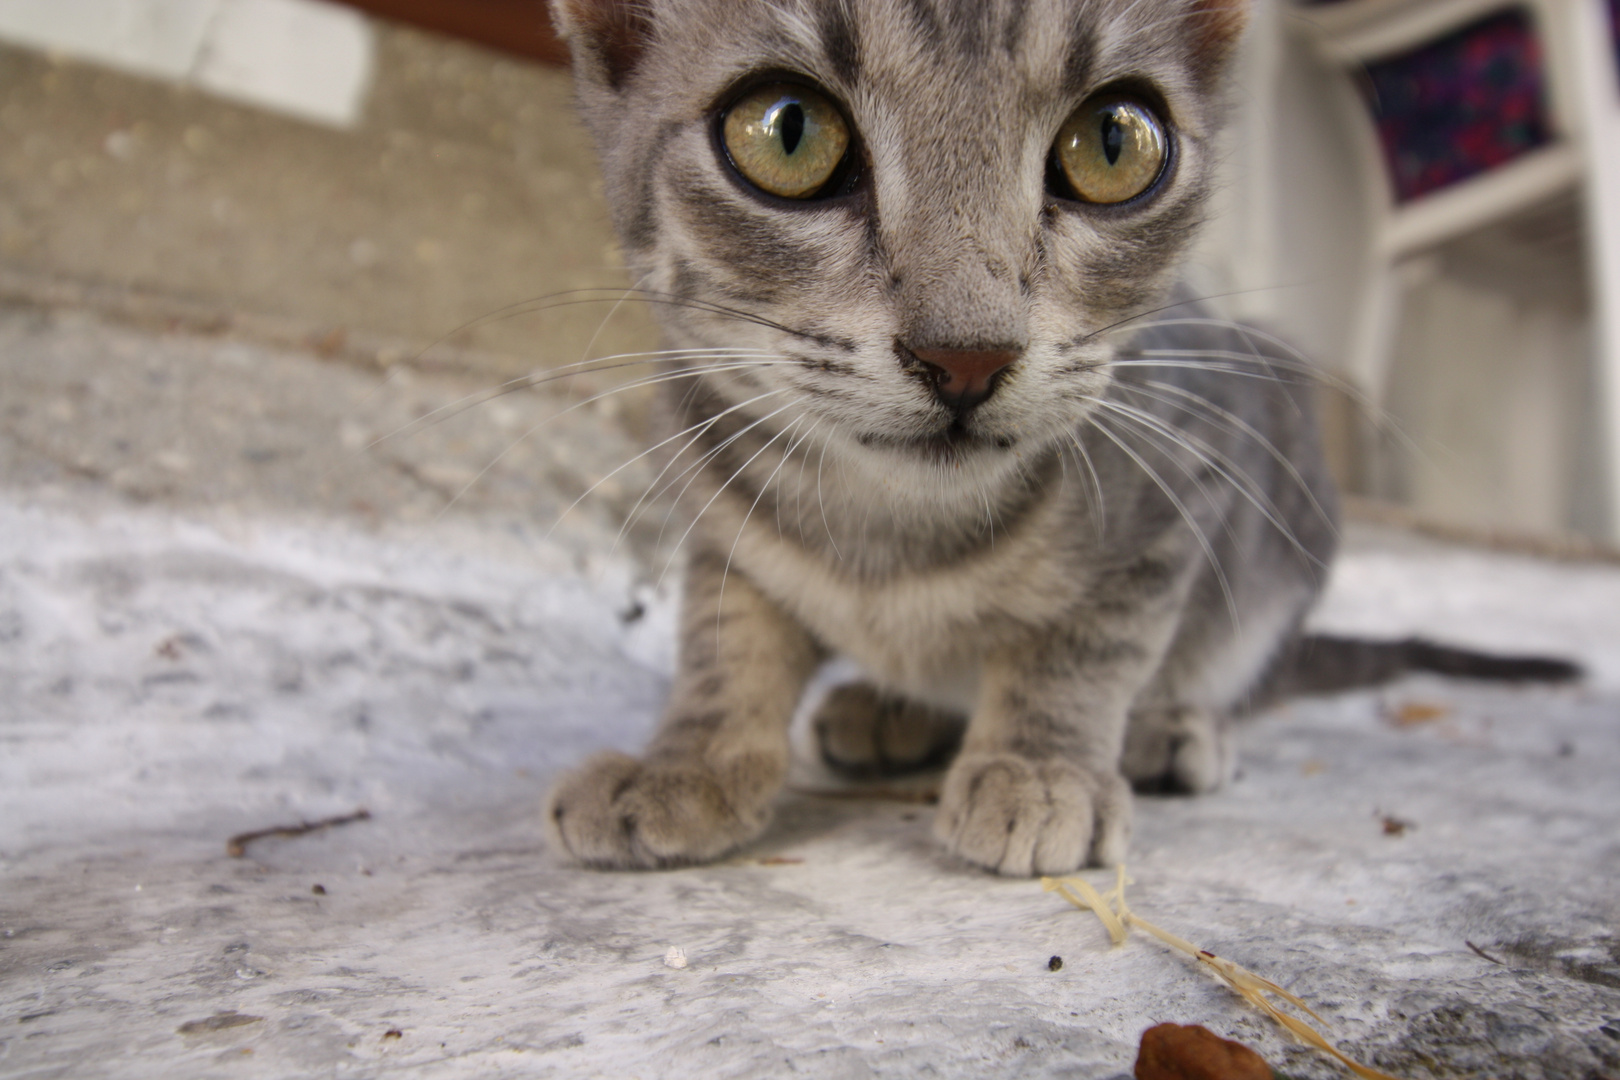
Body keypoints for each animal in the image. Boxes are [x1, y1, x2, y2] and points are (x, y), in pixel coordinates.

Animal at [544, 0, 1328, 880]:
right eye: (787, 131)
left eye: (1114, 142)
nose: (966, 357)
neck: (891, 528)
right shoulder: (721, 525)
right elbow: (727, 643)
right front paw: (687, 762)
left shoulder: (1178, 489)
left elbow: (1091, 643)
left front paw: (1040, 768)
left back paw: (1170, 726)